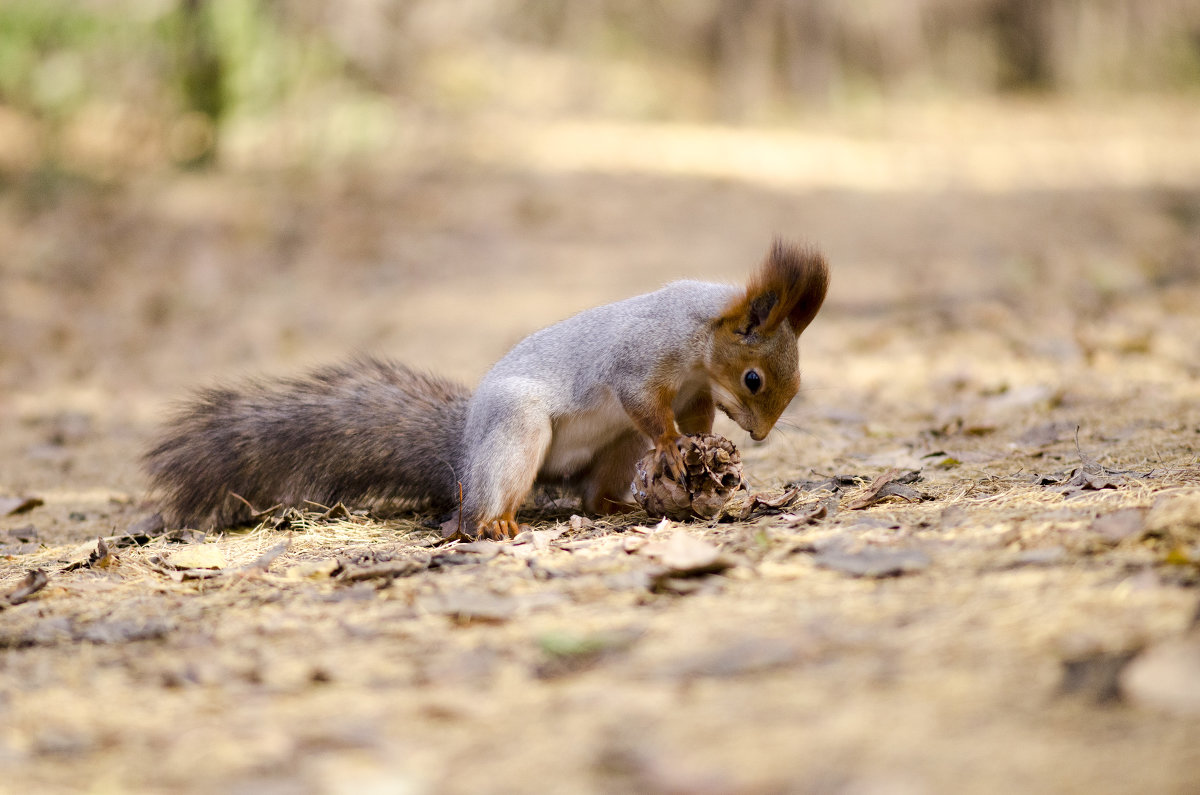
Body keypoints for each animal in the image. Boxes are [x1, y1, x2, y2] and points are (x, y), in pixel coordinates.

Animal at [145, 241, 830, 542]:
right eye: (753, 378)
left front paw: (701, 453)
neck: (697, 343)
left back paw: (616, 505)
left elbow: (694, 423)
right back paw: (495, 520)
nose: (760, 435)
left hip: (611, 449)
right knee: (476, 511)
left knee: (591, 491)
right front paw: (672, 446)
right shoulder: (641, 359)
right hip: (517, 429)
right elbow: (645, 405)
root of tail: (464, 457)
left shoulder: (694, 393)